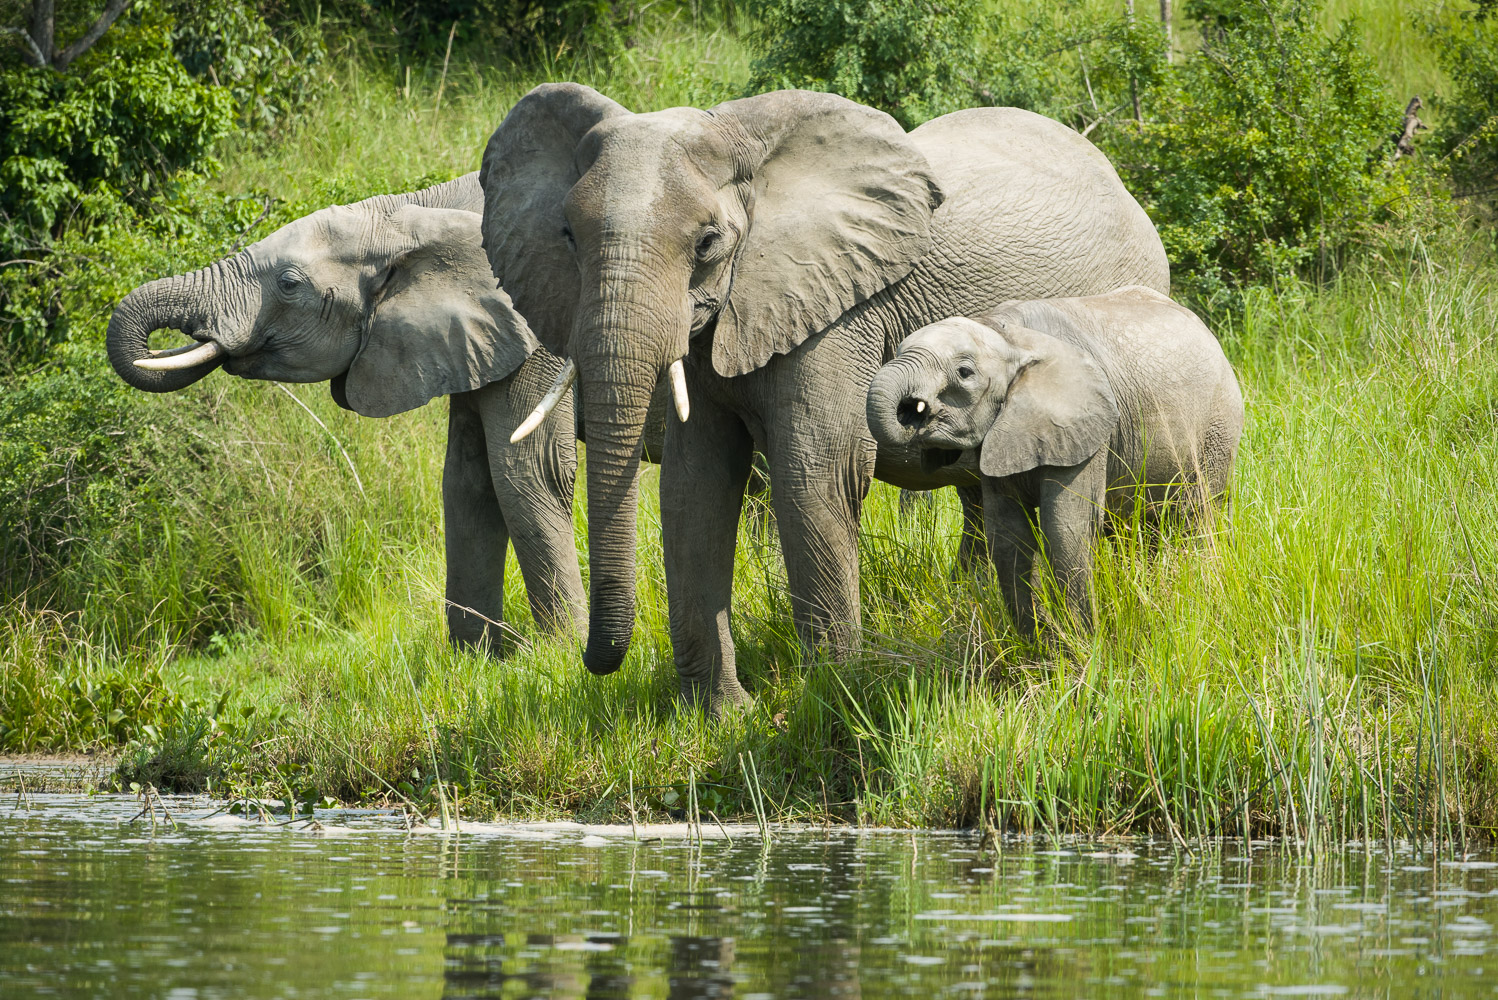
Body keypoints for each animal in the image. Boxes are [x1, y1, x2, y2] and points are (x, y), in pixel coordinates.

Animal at [104, 173, 584, 649]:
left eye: (289, 284)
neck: (413, 212)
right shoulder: (467, 342)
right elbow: (468, 479)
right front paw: (478, 658)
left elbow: (528, 471)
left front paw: (560, 654)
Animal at [479, 83, 1168, 709]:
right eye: (567, 234)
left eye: (707, 243)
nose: (594, 660)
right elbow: (695, 486)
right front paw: (720, 714)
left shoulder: (835, 312)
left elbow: (818, 473)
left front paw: (828, 696)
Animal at [862, 287, 1246, 631]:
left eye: (964, 373)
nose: (911, 410)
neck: (1007, 334)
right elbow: (1008, 535)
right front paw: (1041, 643)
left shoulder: (1087, 427)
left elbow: (1065, 528)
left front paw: (1081, 648)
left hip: (1219, 426)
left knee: (1199, 515)